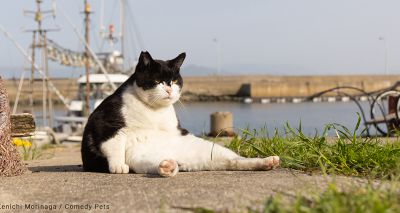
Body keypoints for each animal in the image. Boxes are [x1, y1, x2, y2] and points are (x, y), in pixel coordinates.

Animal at [81, 51, 280, 176]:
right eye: (158, 81)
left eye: (175, 81)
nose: (169, 89)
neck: (153, 110)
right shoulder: (106, 124)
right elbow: (114, 146)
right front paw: (117, 166)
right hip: (139, 158)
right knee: (157, 165)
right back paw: (168, 167)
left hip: (210, 150)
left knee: (235, 161)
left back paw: (267, 162)